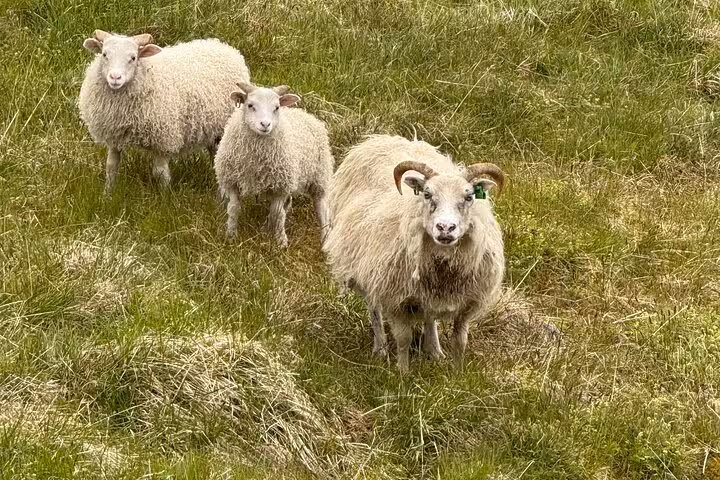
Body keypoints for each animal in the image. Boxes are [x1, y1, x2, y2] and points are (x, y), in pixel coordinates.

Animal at [78, 29, 250, 195]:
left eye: (133, 58)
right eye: (104, 54)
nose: (115, 77)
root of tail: (223, 47)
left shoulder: (163, 138)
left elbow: (160, 172)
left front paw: (165, 197)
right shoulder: (115, 135)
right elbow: (111, 167)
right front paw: (108, 194)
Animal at [214, 82, 333, 248]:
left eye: (276, 107)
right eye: (250, 105)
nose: (265, 124)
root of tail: (305, 113)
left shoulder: (281, 187)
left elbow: (278, 213)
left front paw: (280, 242)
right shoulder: (233, 181)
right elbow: (233, 208)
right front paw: (230, 235)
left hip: (319, 176)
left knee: (321, 207)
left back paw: (325, 239)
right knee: (286, 205)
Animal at [323, 135, 506, 372]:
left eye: (469, 197)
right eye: (427, 194)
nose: (445, 228)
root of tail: (380, 138)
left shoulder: (468, 302)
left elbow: (460, 340)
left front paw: (458, 373)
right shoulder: (394, 298)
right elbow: (404, 339)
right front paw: (403, 373)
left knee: (429, 316)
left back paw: (434, 350)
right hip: (365, 267)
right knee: (374, 308)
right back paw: (380, 348)